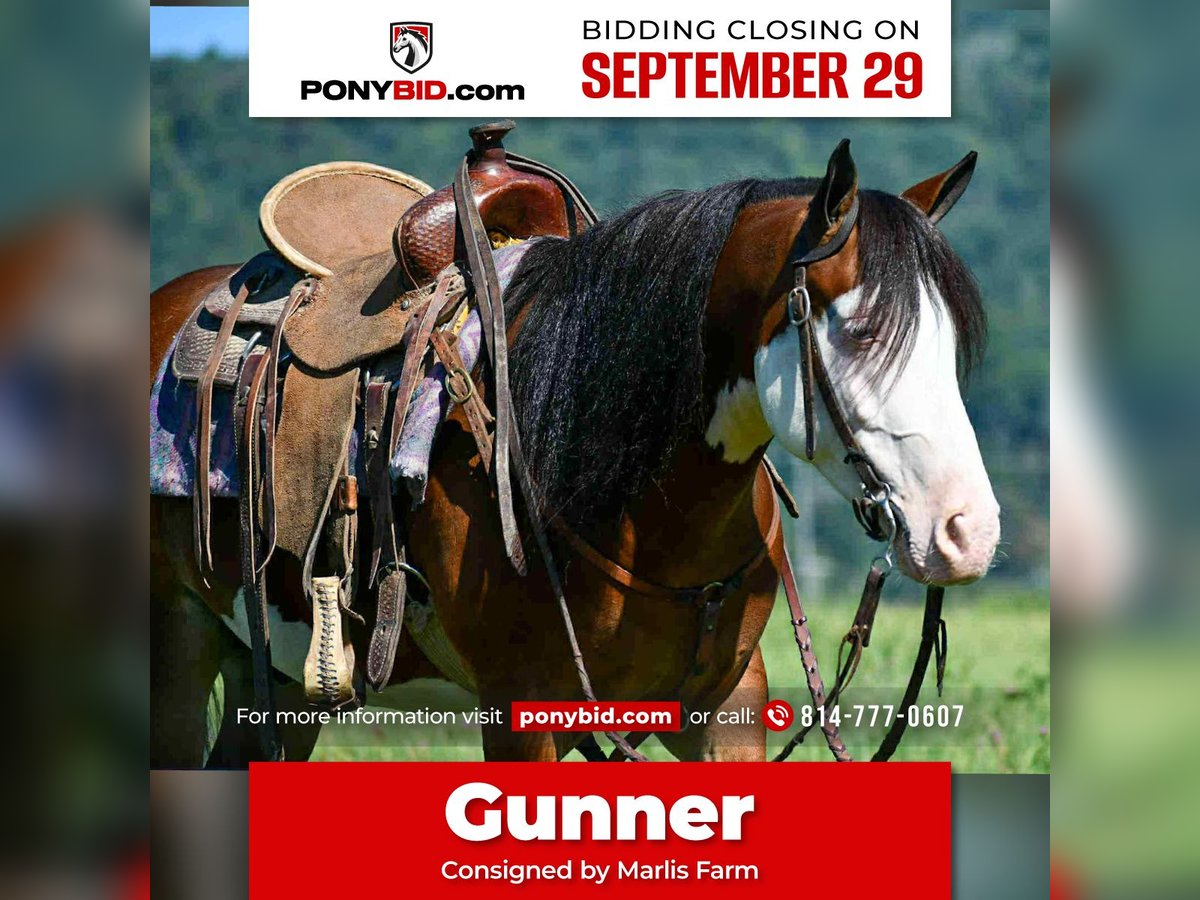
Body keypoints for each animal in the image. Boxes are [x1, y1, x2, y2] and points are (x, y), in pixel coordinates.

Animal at [149, 141, 999, 766]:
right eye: (859, 331)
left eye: (951, 339)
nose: (967, 532)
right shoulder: (520, 711)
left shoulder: (726, 705)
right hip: (181, 642)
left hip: (279, 674)